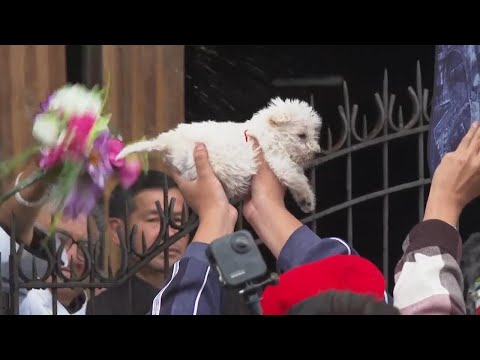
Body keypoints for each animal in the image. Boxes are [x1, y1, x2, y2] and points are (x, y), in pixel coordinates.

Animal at [115, 97, 322, 212]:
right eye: (301, 135)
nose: (317, 152)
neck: (268, 132)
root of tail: (169, 141)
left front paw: (305, 202)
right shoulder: (277, 158)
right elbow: (296, 178)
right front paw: (308, 198)